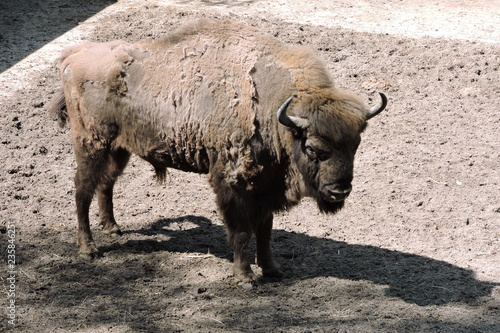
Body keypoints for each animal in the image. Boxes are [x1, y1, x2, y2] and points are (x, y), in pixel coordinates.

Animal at [48, 19, 386, 282]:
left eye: (356, 144)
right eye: (314, 149)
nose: (340, 191)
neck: (272, 108)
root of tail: (73, 55)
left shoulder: (265, 188)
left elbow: (265, 231)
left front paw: (272, 270)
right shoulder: (233, 184)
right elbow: (242, 231)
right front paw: (245, 277)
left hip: (119, 149)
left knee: (106, 184)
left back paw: (113, 228)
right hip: (91, 145)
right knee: (82, 189)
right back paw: (89, 248)